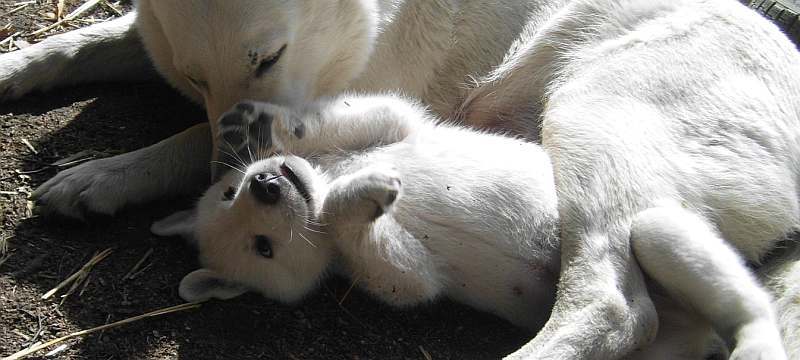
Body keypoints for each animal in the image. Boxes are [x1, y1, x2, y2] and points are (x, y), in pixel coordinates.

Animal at [153, 94, 784, 358]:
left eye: (230, 190)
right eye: (261, 248)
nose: (267, 184)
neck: (331, 172)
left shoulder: (394, 125)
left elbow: (368, 112)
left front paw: (259, 122)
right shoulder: (396, 276)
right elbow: (396, 268)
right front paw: (363, 195)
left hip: (652, 226)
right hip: (661, 323)